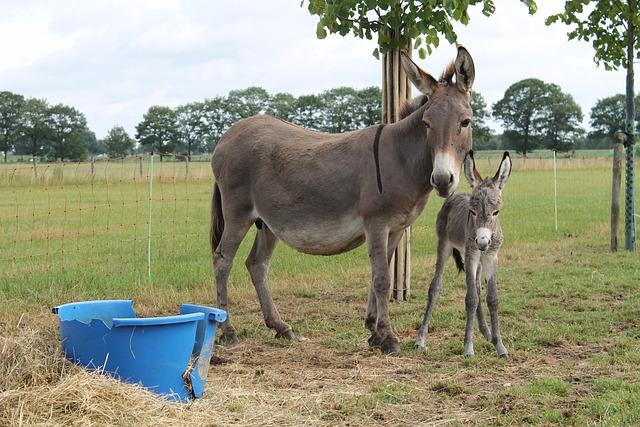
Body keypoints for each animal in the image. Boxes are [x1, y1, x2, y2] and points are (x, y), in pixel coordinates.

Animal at [418, 150, 512, 358]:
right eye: (472, 211)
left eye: (496, 212)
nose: (482, 242)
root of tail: (456, 194)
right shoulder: (471, 255)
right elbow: (471, 299)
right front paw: (468, 348)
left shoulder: (491, 258)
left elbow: (492, 299)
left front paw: (500, 346)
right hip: (445, 246)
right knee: (435, 287)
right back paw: (420, 339)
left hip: (478, 260)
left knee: (477, 287)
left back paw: (488, 334)